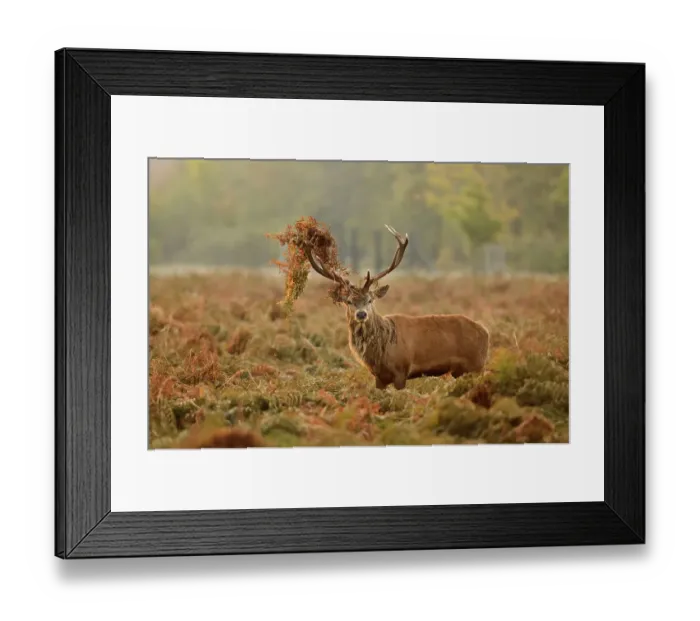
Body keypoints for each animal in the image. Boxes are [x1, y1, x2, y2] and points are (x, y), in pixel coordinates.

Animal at [304, 225, 490, 390]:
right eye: (349, 301)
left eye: (370, 300)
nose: (361, 314)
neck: (380, 352)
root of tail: (486, 332)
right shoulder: (379, 377)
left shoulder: (402, 369)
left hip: (476, 366)